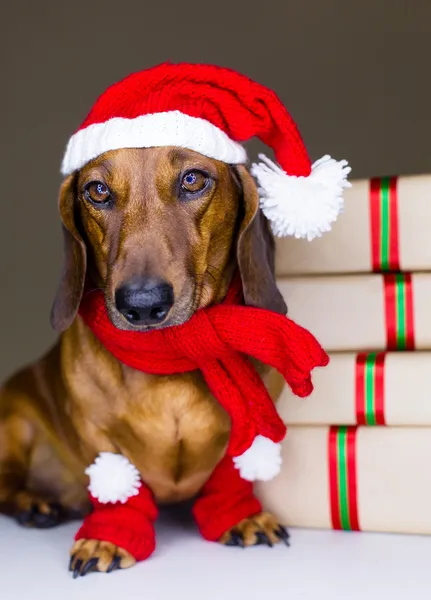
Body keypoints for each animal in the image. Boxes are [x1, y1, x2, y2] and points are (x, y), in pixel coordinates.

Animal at [0, 146, 290, 576]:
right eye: (97, 190)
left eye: (192, 179)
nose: (142, 304)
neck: (170, 358)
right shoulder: (96, 432)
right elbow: (118, 486)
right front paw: (107, 538)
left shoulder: (250, 426)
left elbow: (234, 472)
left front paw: (242, 517)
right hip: (13, 423)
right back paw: (35, 503)